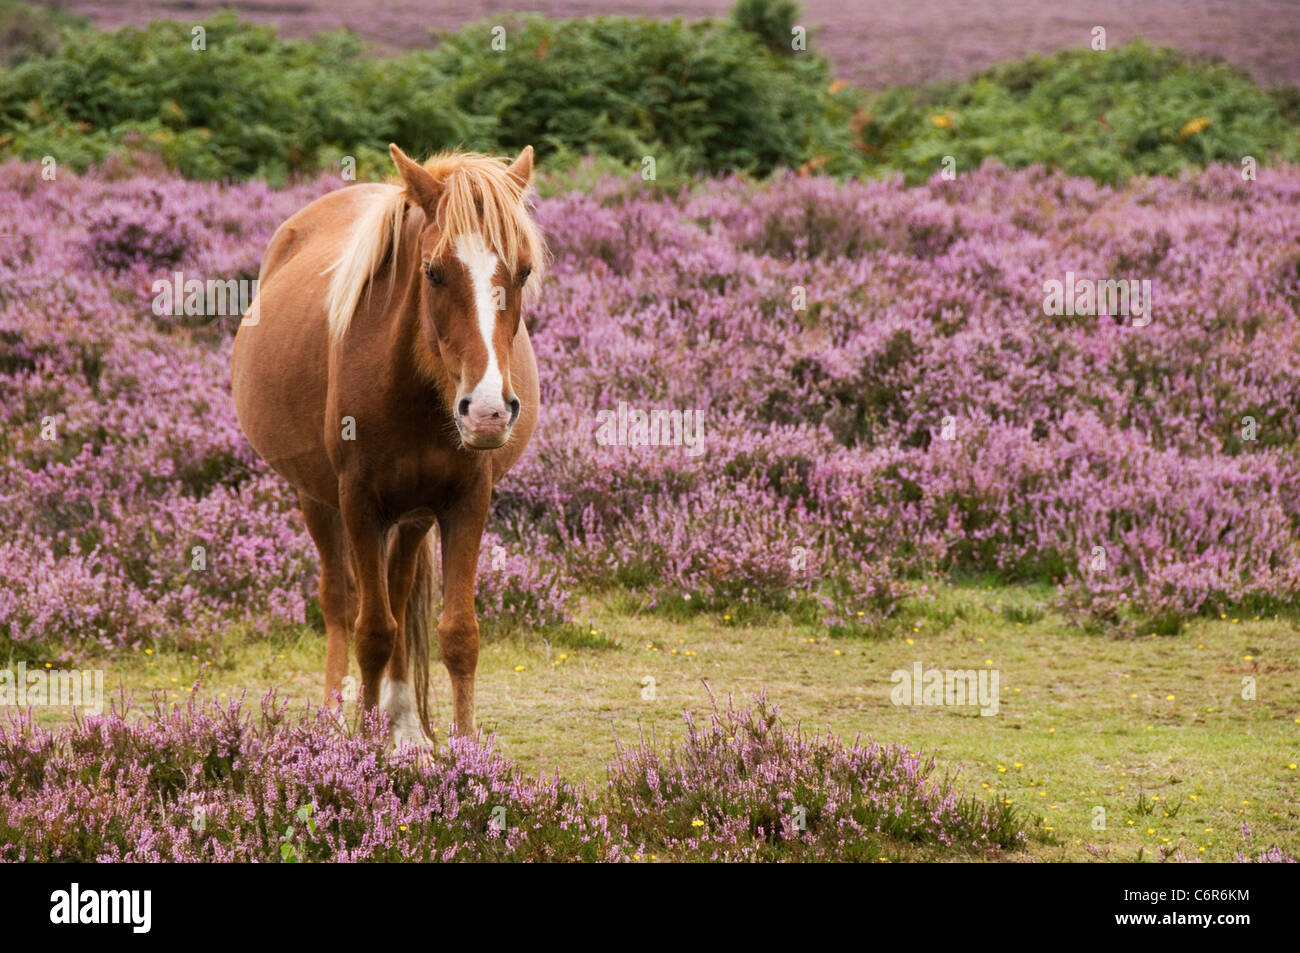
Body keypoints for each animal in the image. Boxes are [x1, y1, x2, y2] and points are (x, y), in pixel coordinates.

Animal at [231, 146, 546, 743]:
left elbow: (458, 634)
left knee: (398, 594)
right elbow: (372, 630)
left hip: (413, 513)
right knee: (339, 602)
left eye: (523, 271)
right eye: (433, 272)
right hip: (317, 500)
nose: (488, 412)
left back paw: (402, 725)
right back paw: (336, 716)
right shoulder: (358, 501)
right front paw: (362, 748)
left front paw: (462, 752)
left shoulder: (466, 499)